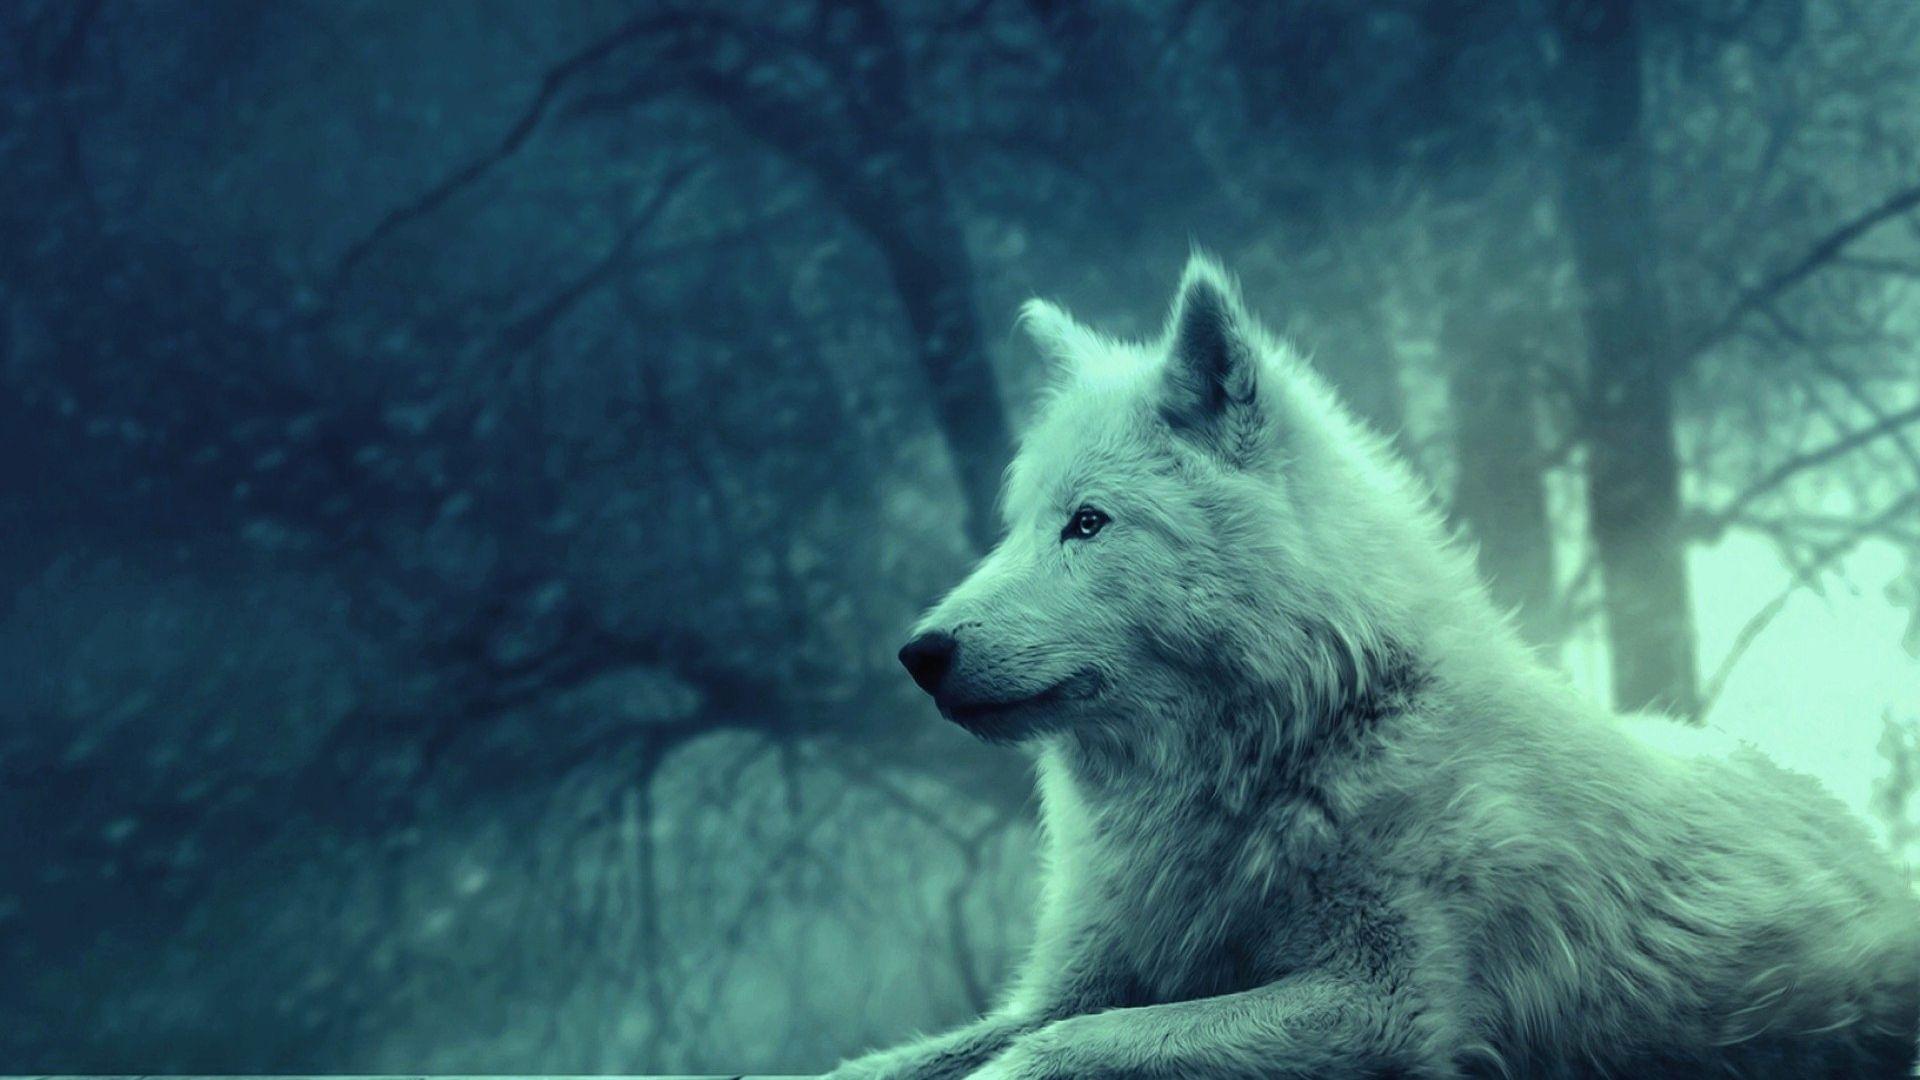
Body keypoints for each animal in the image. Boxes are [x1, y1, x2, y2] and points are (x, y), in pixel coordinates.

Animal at [828, 256, 1920, 1079]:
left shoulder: (1382, 1006)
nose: (919, 654)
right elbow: (896, 1060)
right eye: (1016, 527)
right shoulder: (1071, 984)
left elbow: (1060, 1052)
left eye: (1088, 523)